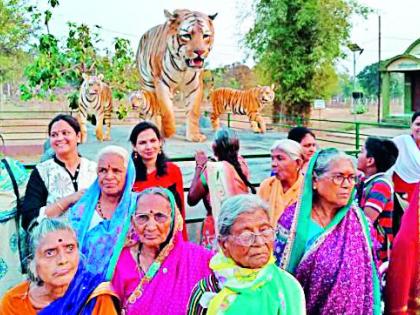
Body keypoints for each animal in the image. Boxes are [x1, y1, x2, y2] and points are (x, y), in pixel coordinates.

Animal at [136, 8, 217, 142]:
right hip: (148, 84)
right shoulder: (162, 83)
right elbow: (167, 112)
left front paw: (194, 136)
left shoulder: (195, 86)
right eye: (187, 36)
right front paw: (168, 133)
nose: (200, 51)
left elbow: (193, 112)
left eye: (205, 36)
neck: (183, 67)